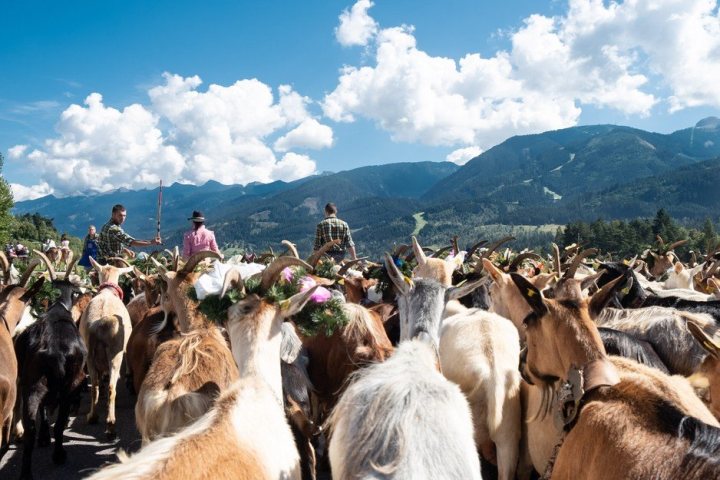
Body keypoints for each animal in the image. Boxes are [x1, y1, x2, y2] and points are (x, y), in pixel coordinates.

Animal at [14, 253, 86, 478]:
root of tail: (52, 350)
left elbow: (44, 411)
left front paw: (45, 436)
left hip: (31, 384)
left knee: (30, 429)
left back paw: (26, 473)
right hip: (69, 384)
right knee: (60, 423)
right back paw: (59, 455)